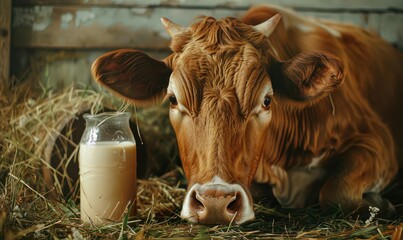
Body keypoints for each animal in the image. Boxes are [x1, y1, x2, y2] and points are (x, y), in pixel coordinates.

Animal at [91, 4, 403, 225]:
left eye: (266, 101)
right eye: (173, 99)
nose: (215, 202)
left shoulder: (377, 140)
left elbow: (335, 191)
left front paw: (379, 204)